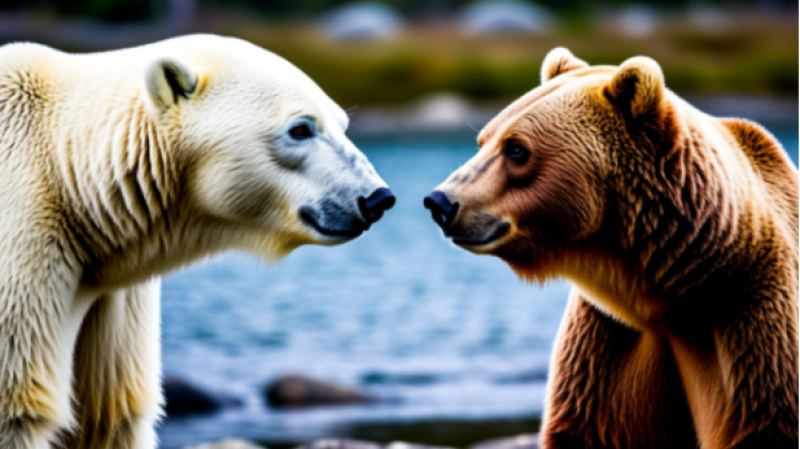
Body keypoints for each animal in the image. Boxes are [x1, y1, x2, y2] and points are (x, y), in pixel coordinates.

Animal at [0, 34, 395, 449]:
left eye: (342, 124)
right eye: (300, 129)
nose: (377, 198)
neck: (70, 175)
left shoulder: (108, 291)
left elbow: (111, 410)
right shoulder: (26, 248)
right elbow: (20, 409)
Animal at [426, 48, 799, 449]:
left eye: (517, 149)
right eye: (484, 140)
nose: (440, 202)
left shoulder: (751, 319)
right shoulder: (609, 335)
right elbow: (590, 426)